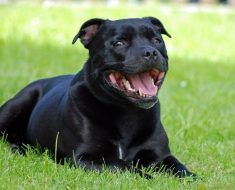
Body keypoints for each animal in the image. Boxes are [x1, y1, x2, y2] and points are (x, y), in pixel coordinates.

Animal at [0, 17, 195, 178]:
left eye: (157, 40)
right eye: (119, 43)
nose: (151, 52)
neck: (127, 112)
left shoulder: (162, 156)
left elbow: (182, 170)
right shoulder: (86, 157)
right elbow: (125, 167)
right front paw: (148, 178)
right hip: (17, 104)